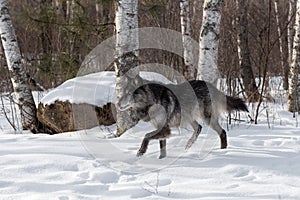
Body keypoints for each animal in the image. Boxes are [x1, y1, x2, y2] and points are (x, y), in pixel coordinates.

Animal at [115, 75, 248, 159]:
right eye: (121, 93)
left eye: (128, 93)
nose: (116, 104)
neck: (152, 101)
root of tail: (213, 87)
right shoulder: (163, 130)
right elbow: (162, 148)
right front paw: (162, 159)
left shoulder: (164, 129)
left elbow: (146, 135)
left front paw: (141, 151)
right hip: (189, 118)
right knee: (199, 128)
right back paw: (189, 145)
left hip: (207, 119)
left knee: (222, 132)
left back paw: (223, 151)